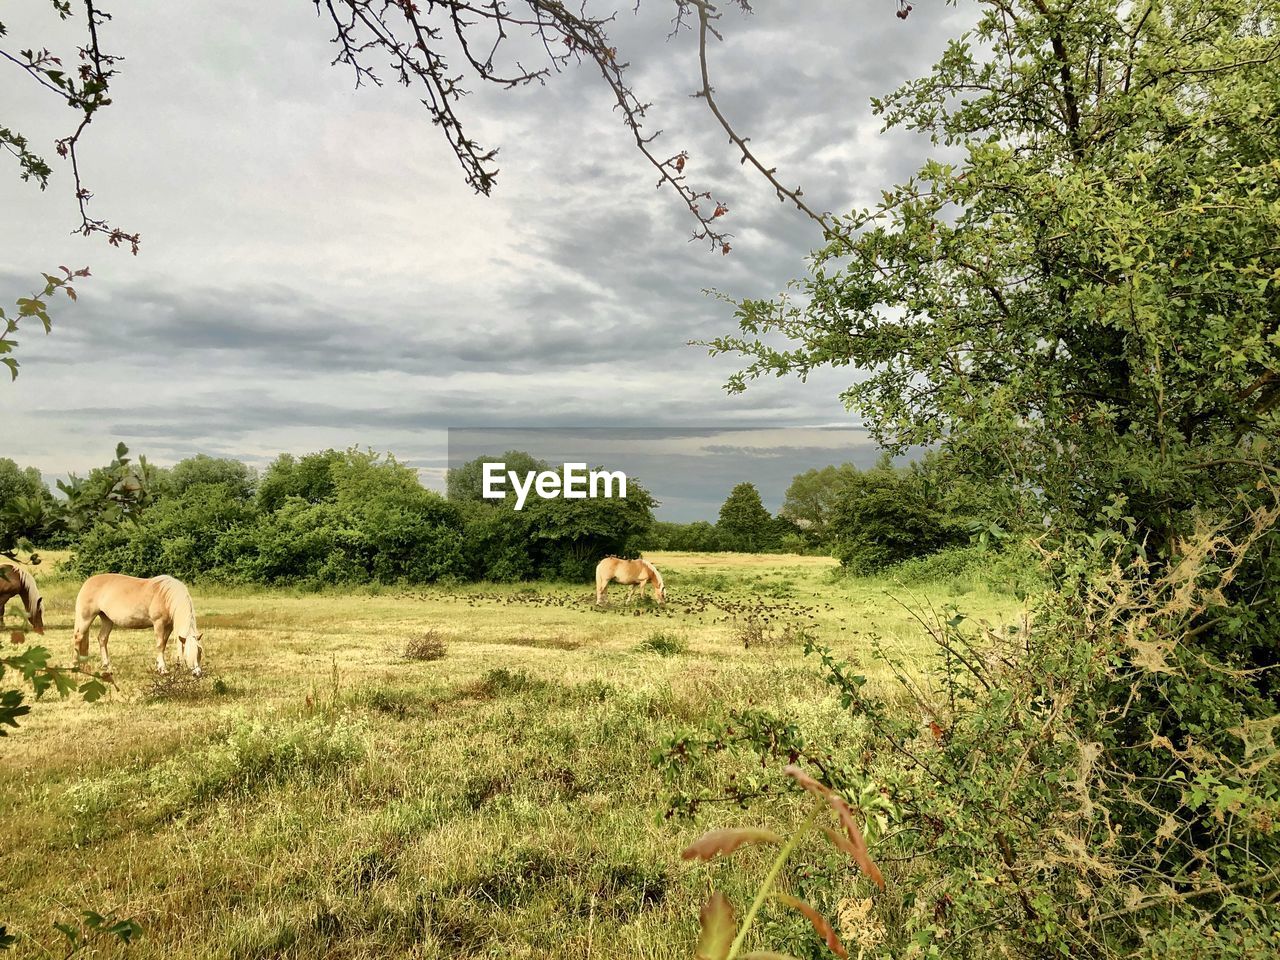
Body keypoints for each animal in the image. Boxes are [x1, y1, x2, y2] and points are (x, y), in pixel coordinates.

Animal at [73, 576, 203, 680]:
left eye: (199, 652)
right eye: (188, 654)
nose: (197, 674)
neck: (166, 597)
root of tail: (87, 582)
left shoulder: (169, 626)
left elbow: (164, 644)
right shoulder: (158, 623)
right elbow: (160, 645)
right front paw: (163, 670)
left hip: (107, 619)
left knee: (102, 639)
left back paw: (107, 667)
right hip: (86, 618)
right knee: (78, 638)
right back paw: (76, 666)